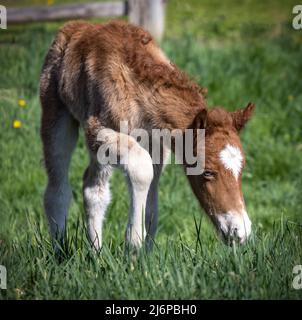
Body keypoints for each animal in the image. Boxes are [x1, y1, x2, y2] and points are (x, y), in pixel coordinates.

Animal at [39, 20, 254, 250]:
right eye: (207, 172)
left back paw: (96, 253)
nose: (240, 232)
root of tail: (76, 26)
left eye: (241, 170)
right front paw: (134, 245)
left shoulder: (157, 147)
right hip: (56, 112)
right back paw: (59, 251)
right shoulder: (99, 131)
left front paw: (144, 256)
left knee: (93, 190)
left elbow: (151, 208)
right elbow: (142, 170)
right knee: (57, 190)